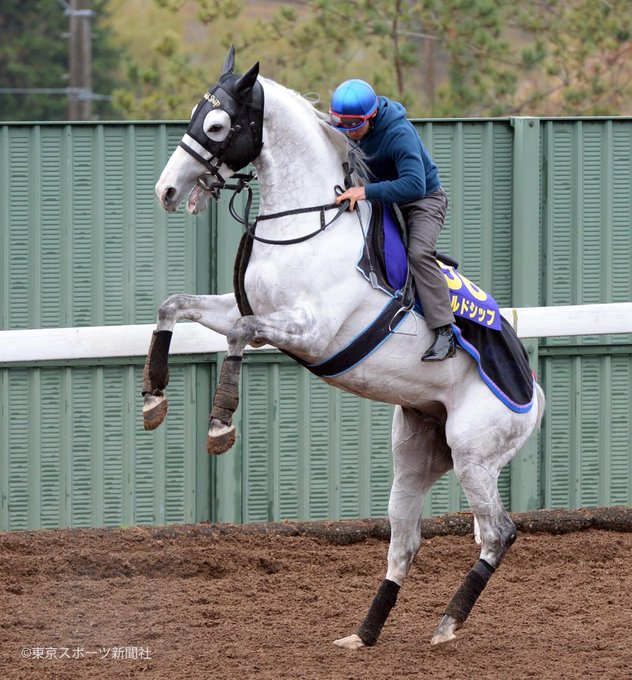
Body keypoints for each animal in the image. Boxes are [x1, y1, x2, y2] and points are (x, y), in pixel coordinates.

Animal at [143, 47, 544, 648]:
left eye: (215, 125)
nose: (166, 190)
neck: (308, 223)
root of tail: (535, 393)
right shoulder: (246, 307)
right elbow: (173, 306)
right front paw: (154, 397)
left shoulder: (312, 331)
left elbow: (239, 335)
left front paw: (219, 423)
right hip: (416, 452)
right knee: (405, 542)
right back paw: (365, 633)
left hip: (475, 454)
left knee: (497, 534)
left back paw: (447, 624)